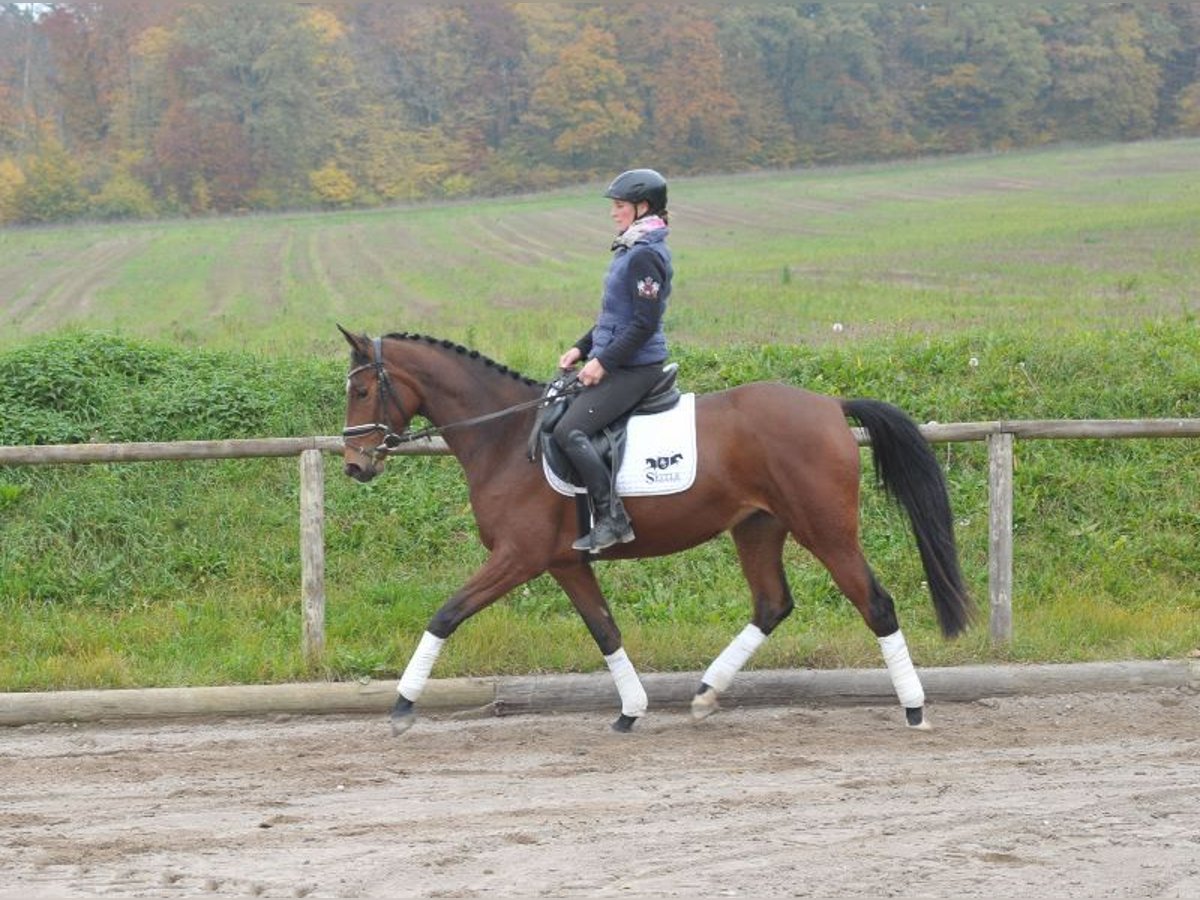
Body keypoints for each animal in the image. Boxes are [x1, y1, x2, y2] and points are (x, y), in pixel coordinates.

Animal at [338, 328, 974, 734]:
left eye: (362, 390)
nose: (354, 465)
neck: (505, 437)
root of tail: (828, 405)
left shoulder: (519, 557)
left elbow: (445, 614)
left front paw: (402, 707)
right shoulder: (565, 562)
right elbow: (605, 630)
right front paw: (631, 710)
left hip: (826, 529)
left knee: (876, 603)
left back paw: (915, 709)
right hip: (758, 527)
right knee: (772, 604)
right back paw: (706, 694)